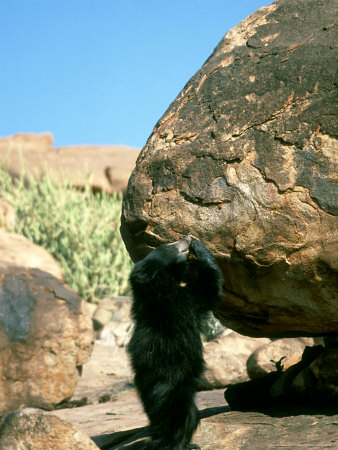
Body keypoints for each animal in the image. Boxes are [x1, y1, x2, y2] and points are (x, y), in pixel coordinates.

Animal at [128, 237, 223, 448]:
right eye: (170, 246)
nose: (186, 238)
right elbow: (210, 287)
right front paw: (198, 247)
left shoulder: (190, 301)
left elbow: (208, 288)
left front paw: (198, 247)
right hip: (169, 389)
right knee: (178, 416)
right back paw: (175, 443)